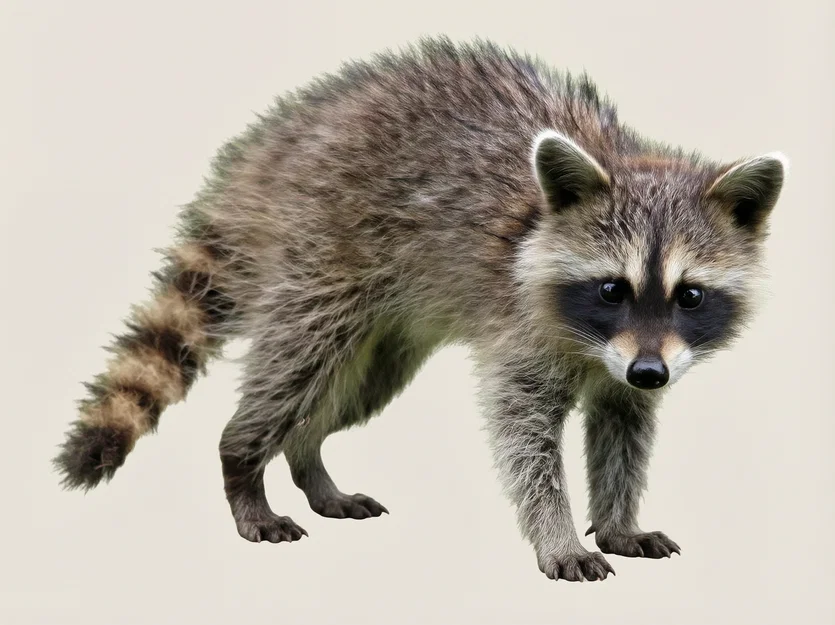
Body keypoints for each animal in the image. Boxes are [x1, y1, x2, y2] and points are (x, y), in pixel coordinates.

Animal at [53, 36, 787, 582]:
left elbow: (623, 430)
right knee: (294, 367)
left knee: (344, 393)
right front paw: (555, 531)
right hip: (319, 252)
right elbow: (522, 431)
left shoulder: (636, 363)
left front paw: (616, 521)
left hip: (388, 331)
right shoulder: (522, 328)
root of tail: (274, 145)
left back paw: (306, 456)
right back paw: (243, 459)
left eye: (689, 295)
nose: (648, 372)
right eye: (612, 289)